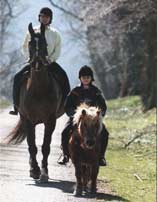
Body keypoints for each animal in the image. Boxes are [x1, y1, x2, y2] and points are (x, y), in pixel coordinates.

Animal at [6, 22, 65, 181]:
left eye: (45, 43)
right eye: (30, 43)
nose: (37, 63)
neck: (38, 89)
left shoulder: (50, 120)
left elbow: (45, 146)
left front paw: (44, 172)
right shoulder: (27, 119)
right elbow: (32, 145)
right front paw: (35, 170)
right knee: (30, 143)